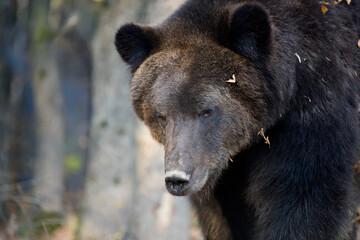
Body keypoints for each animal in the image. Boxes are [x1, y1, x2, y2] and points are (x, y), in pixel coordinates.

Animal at [116, 0, 360, 240]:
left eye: (207, 111)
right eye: (161, 115)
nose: (177, 178)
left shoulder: (312, 115)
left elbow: (303, 198)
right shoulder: (223, 171)